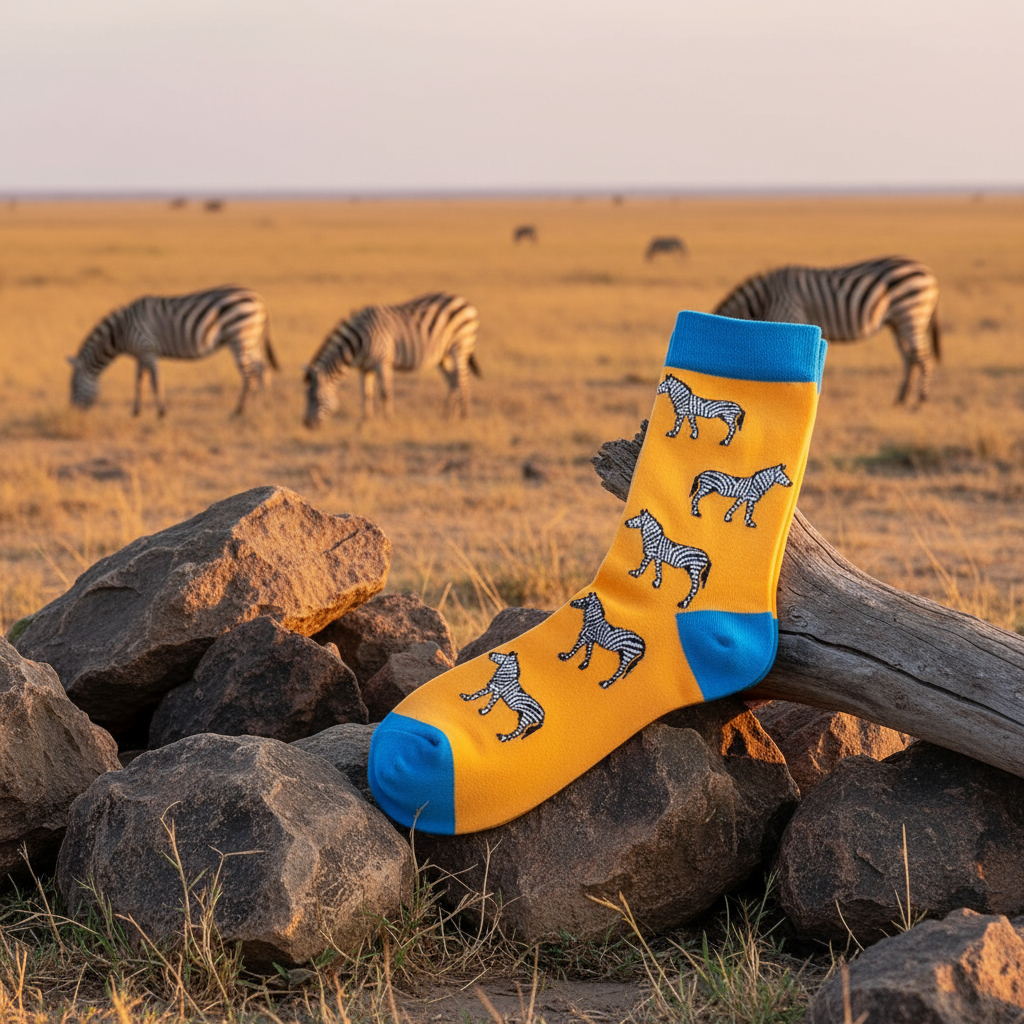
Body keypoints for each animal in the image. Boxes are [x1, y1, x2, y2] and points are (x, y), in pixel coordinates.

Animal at [68, 286, 276, 417]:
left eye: (74, 386)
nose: (73, 413)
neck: (120, 332)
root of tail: (260, 300)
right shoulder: (140, 355)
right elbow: (139, 381)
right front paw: (136, 411)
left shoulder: (148, 348)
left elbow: (154, 381)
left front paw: (161, 412)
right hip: (251, 340)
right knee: (262, 369)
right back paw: (262, 407)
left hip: (240, 338)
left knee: (249, 375)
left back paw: (239, 411)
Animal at [303, 292, 480, 425]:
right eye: (306, 397)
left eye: (316, 398)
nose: (307, 424)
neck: (358, 342)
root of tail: (465, 301)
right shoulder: (365, 368)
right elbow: (366, 394)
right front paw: (365, 421)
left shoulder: (383, 361)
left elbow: (385, 392)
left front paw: (388, 420)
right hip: (442, 355)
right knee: (453, 379)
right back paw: (449, 415)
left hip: (460, 345)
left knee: (463, 379)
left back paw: (464, 416)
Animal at [713, 256, 940, 404]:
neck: (766, 300)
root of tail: (928, 272)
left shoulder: (791, 317)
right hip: (897, 322)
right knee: (910, 357)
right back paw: (901, 398)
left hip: (911, 313)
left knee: (923, 357)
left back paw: (921, 401)